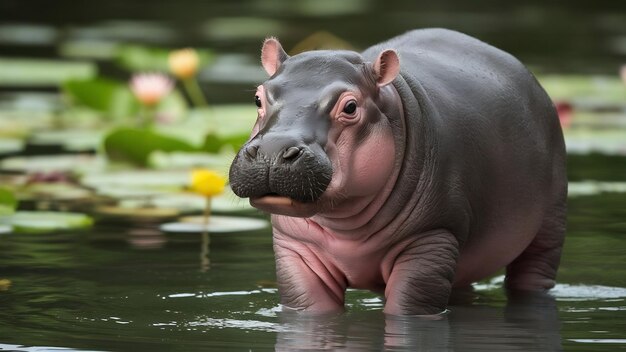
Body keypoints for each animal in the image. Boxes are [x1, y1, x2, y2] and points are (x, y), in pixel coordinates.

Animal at [229, 28, 564, 316]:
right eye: (258, 98)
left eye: (350, 107)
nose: (273, 150)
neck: (343, 222)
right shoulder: (297, 251)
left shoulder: (431, 240)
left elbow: (406, 310)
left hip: (548, 223)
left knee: (534, 274)